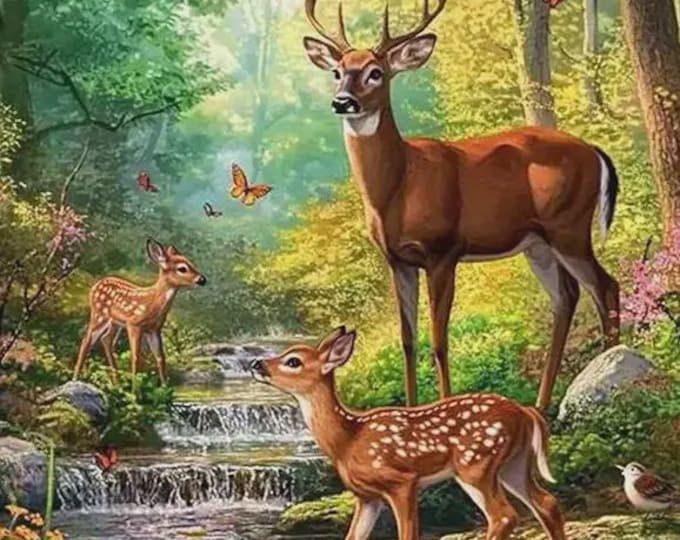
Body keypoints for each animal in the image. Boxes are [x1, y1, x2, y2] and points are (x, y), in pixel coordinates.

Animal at [72, 239, 207, 384]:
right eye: (182, 268)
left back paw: (117, 382)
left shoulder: (154, 329)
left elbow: (160, 357)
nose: (202, 280)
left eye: (191, 263)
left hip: (115, 323)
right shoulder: (134, 324)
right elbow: (136, 357)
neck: (153, 303)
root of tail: (95, 286)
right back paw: (75, 378)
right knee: (87, 340)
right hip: (100, 314)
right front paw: (135, 388)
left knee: (106, 340)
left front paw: (165, 385)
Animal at [250, 326, 566, 540]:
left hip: (476, 463)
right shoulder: (367, 497)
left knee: (504, 516)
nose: (256, 363)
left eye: (293, 361)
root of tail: (524, 411)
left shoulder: (402, 481)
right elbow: (354, 536)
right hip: (512, 463)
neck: (348, 440)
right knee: (547, 503)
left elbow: (408, 533)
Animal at [302, 0, 621, 410]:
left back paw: (609, 381)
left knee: (606, 287)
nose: (343, 102)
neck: (397, 188)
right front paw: (411, 410)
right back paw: (541, 402)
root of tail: (594, 151)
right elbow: (407, 341)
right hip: (537, 243)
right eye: (338, 71)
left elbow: (439, 341)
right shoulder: (398, 260)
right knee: (567, 297)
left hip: (569, 226)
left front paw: (443, 407)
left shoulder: (443, 251)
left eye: (376, 72)